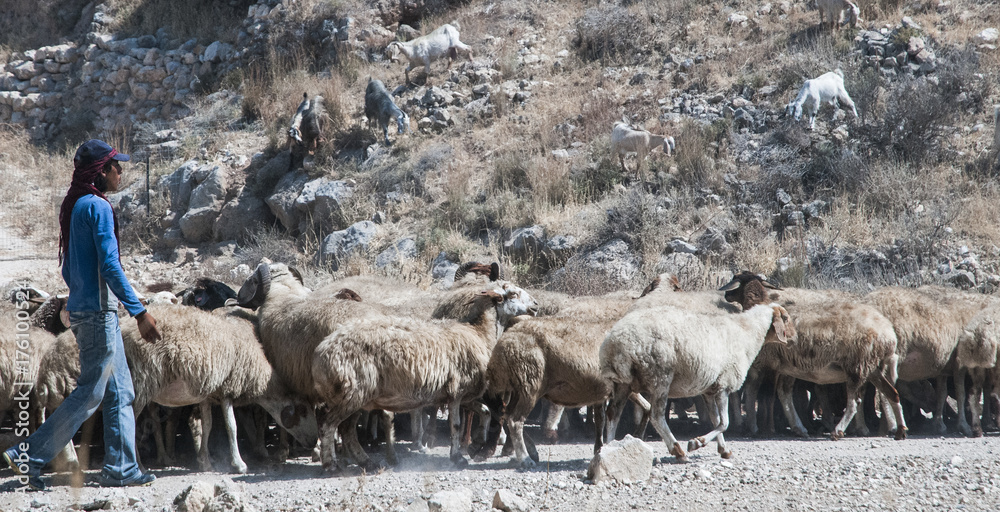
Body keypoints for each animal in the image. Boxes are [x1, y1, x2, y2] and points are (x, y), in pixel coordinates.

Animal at [121, 304, 319, 473]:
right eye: (304, 410)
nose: (313, 441)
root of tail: (123, 329)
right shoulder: (228, 390)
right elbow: (232, 426)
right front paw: (239, 464)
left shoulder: (208, 395)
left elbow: (206, 425)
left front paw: (204, 462)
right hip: (141, 381)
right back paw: (140, 467)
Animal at [311, 280, 539, 473]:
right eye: (513, 293)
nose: (536, 305)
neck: (479, 334)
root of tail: (321, 353)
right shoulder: (456, 391)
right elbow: (456, 425)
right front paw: (458, 457)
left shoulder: (458, 394)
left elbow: (484, 411)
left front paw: (476, 445)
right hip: (352, 392)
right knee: (329, 425)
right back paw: (331, 465)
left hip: (355, 397)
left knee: (347, 430)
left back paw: (367, 462)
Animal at [600, 302, 795, 461]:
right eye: (786, 318)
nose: (795, 339)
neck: (747, 333)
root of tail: (615, 343)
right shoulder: (724, 385)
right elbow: (724, 423)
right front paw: (696, 442)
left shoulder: (709, 390)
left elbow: (716, 421)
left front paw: (724, 450)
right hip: (660, 377)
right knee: (656, 415)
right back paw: (678, 450)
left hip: (622, 383)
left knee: (613, 413)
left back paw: (608, 448)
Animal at [720, 272, 907, 441]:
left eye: (736, 279)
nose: (726, 295)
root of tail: (888, 334)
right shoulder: (787, 367)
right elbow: (784, 394)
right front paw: (798, 427)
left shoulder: (771, 363)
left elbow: (766, 396)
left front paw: (765, 429)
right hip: (872, 367)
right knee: (892, 394)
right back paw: (900, 430)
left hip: (857, 366)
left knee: (854, 402)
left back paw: (838, 431)